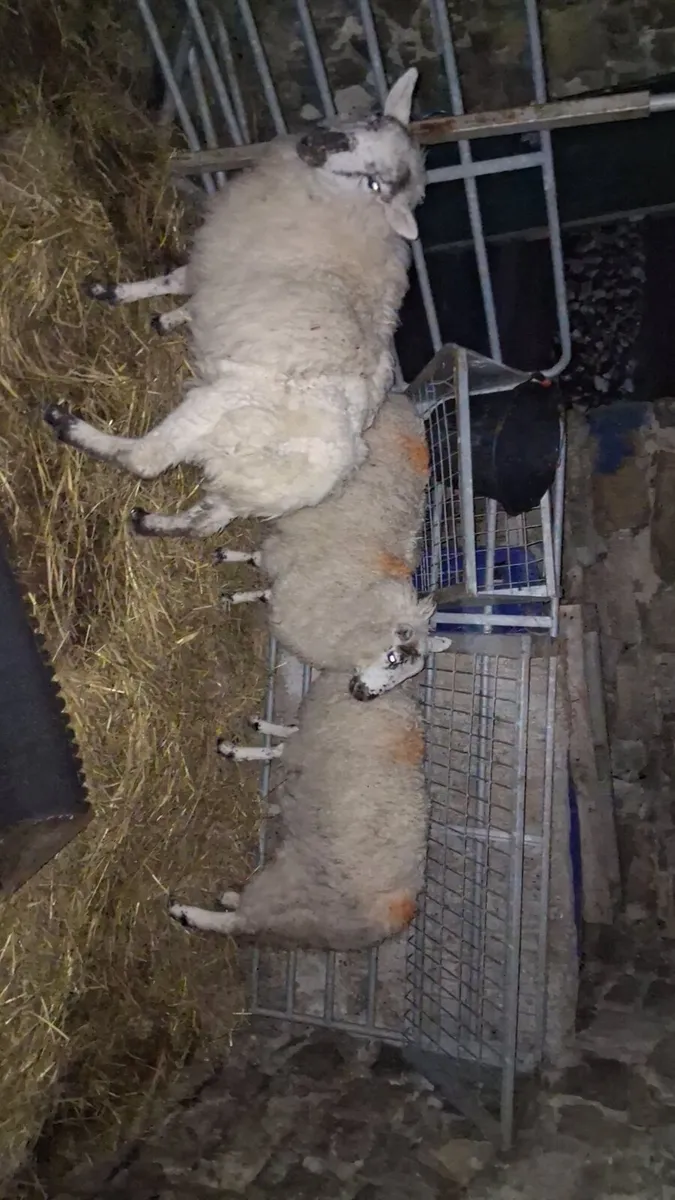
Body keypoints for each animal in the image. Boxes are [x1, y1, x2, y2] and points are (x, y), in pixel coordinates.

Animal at [44, 69, 426, 539]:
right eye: (373, 120)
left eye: (374, 183)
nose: (320, 144)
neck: (353, 211)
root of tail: (313, 484)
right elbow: (186, 292)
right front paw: (166, 316)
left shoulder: (223, 256)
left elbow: (177, 279)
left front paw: (118, 294)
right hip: (237, 484)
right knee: (204, 523)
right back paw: (154, 523)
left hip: (218, 408)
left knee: (146, 461)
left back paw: (71, 426)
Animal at [168, 668, 430, 951]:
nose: (361, 692)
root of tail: (401, 913)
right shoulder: (307, 734)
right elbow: (289, 731)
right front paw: (264, 725)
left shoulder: (306, 746)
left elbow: (275, 750)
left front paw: (235, 751)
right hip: (307, 916)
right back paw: (230, 898)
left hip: (300, 891)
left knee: (241, 923)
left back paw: (187, 913)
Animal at [215, 390, 451, 698]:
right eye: (393, 658)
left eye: (409, 674)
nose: (365, 696)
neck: (356, 600)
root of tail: (402, 400)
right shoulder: (286, 560)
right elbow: (256, 560)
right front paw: (228, 565)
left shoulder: (293, 593)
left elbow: (264, 592)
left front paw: (237, 594)